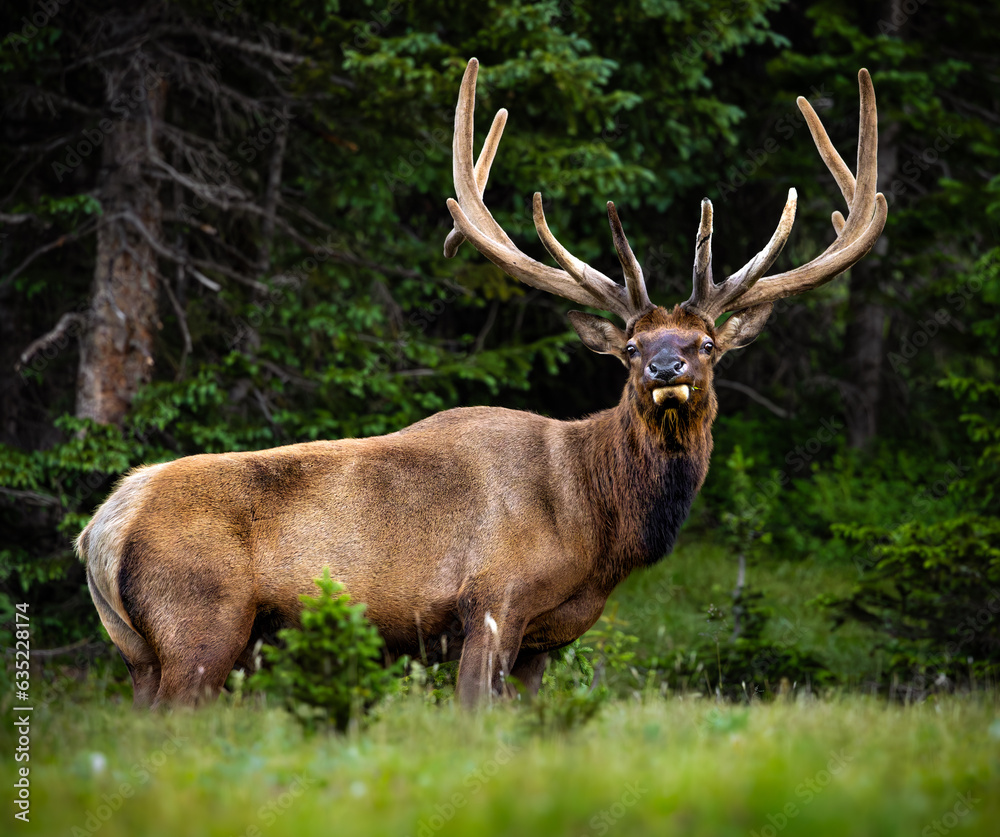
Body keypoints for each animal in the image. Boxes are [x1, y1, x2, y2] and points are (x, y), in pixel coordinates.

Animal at [80, 58, 892, 704]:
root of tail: (104, 525)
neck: (594, 520)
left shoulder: (545, 639)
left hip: (142, 653)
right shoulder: (494, 601)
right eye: (630, 346)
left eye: (707, 343)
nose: (667, 369)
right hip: (201, 623)